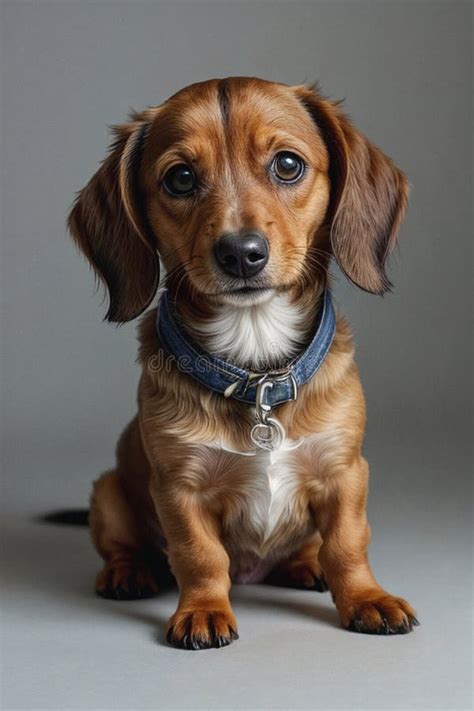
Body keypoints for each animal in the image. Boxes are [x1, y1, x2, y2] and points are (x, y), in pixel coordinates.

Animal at [67, 78, 418, 652]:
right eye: (180, 177)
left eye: (288, 165)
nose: (240, 253)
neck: (256, 369)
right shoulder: (179, 487)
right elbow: (199, 555)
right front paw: (204, 610)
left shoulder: (345, 473)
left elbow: (347, 544)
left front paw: (367, 597)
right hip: (109, 491)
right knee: (125, 545)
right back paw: (127, 572)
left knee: (312, 548)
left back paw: (305, 565)